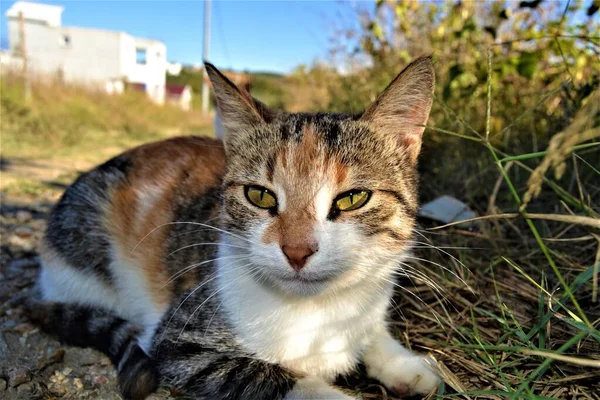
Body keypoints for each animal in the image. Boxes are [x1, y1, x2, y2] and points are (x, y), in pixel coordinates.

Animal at [28, 57, 438, 400]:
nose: (297, 251)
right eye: (259, 195)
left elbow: (372, 331)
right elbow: (281, 379)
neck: (318, 312)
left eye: (353, 198)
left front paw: (403, 363)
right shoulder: (182, 344)